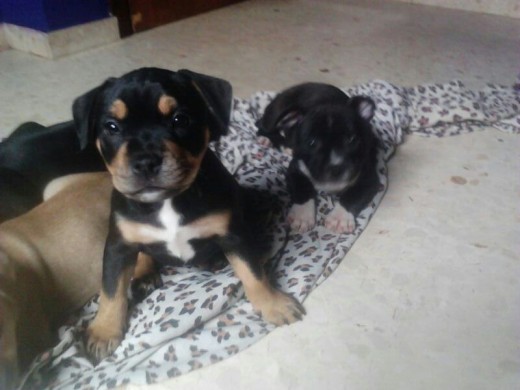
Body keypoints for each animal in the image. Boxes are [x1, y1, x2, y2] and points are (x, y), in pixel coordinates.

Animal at [70, 68, 304, 362]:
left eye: (180, 119)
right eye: (111, 127)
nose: (145, 161)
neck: (167, 201)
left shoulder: (233, 235)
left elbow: (252, 272)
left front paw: (273, 303)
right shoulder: (117, 245)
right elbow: (111, 291)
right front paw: (103, 331)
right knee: (142, 255)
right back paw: (144, 273)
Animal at [255, 82, 378, 233]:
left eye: (352, 139)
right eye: (311, 142)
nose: (336, 166)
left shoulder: (368, 178)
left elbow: (353, 195)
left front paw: (339, 217)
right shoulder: (295, 170)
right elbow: (303, 189)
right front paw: (302, 216)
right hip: (277, 110)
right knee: (262, 124)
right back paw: (269, 139)